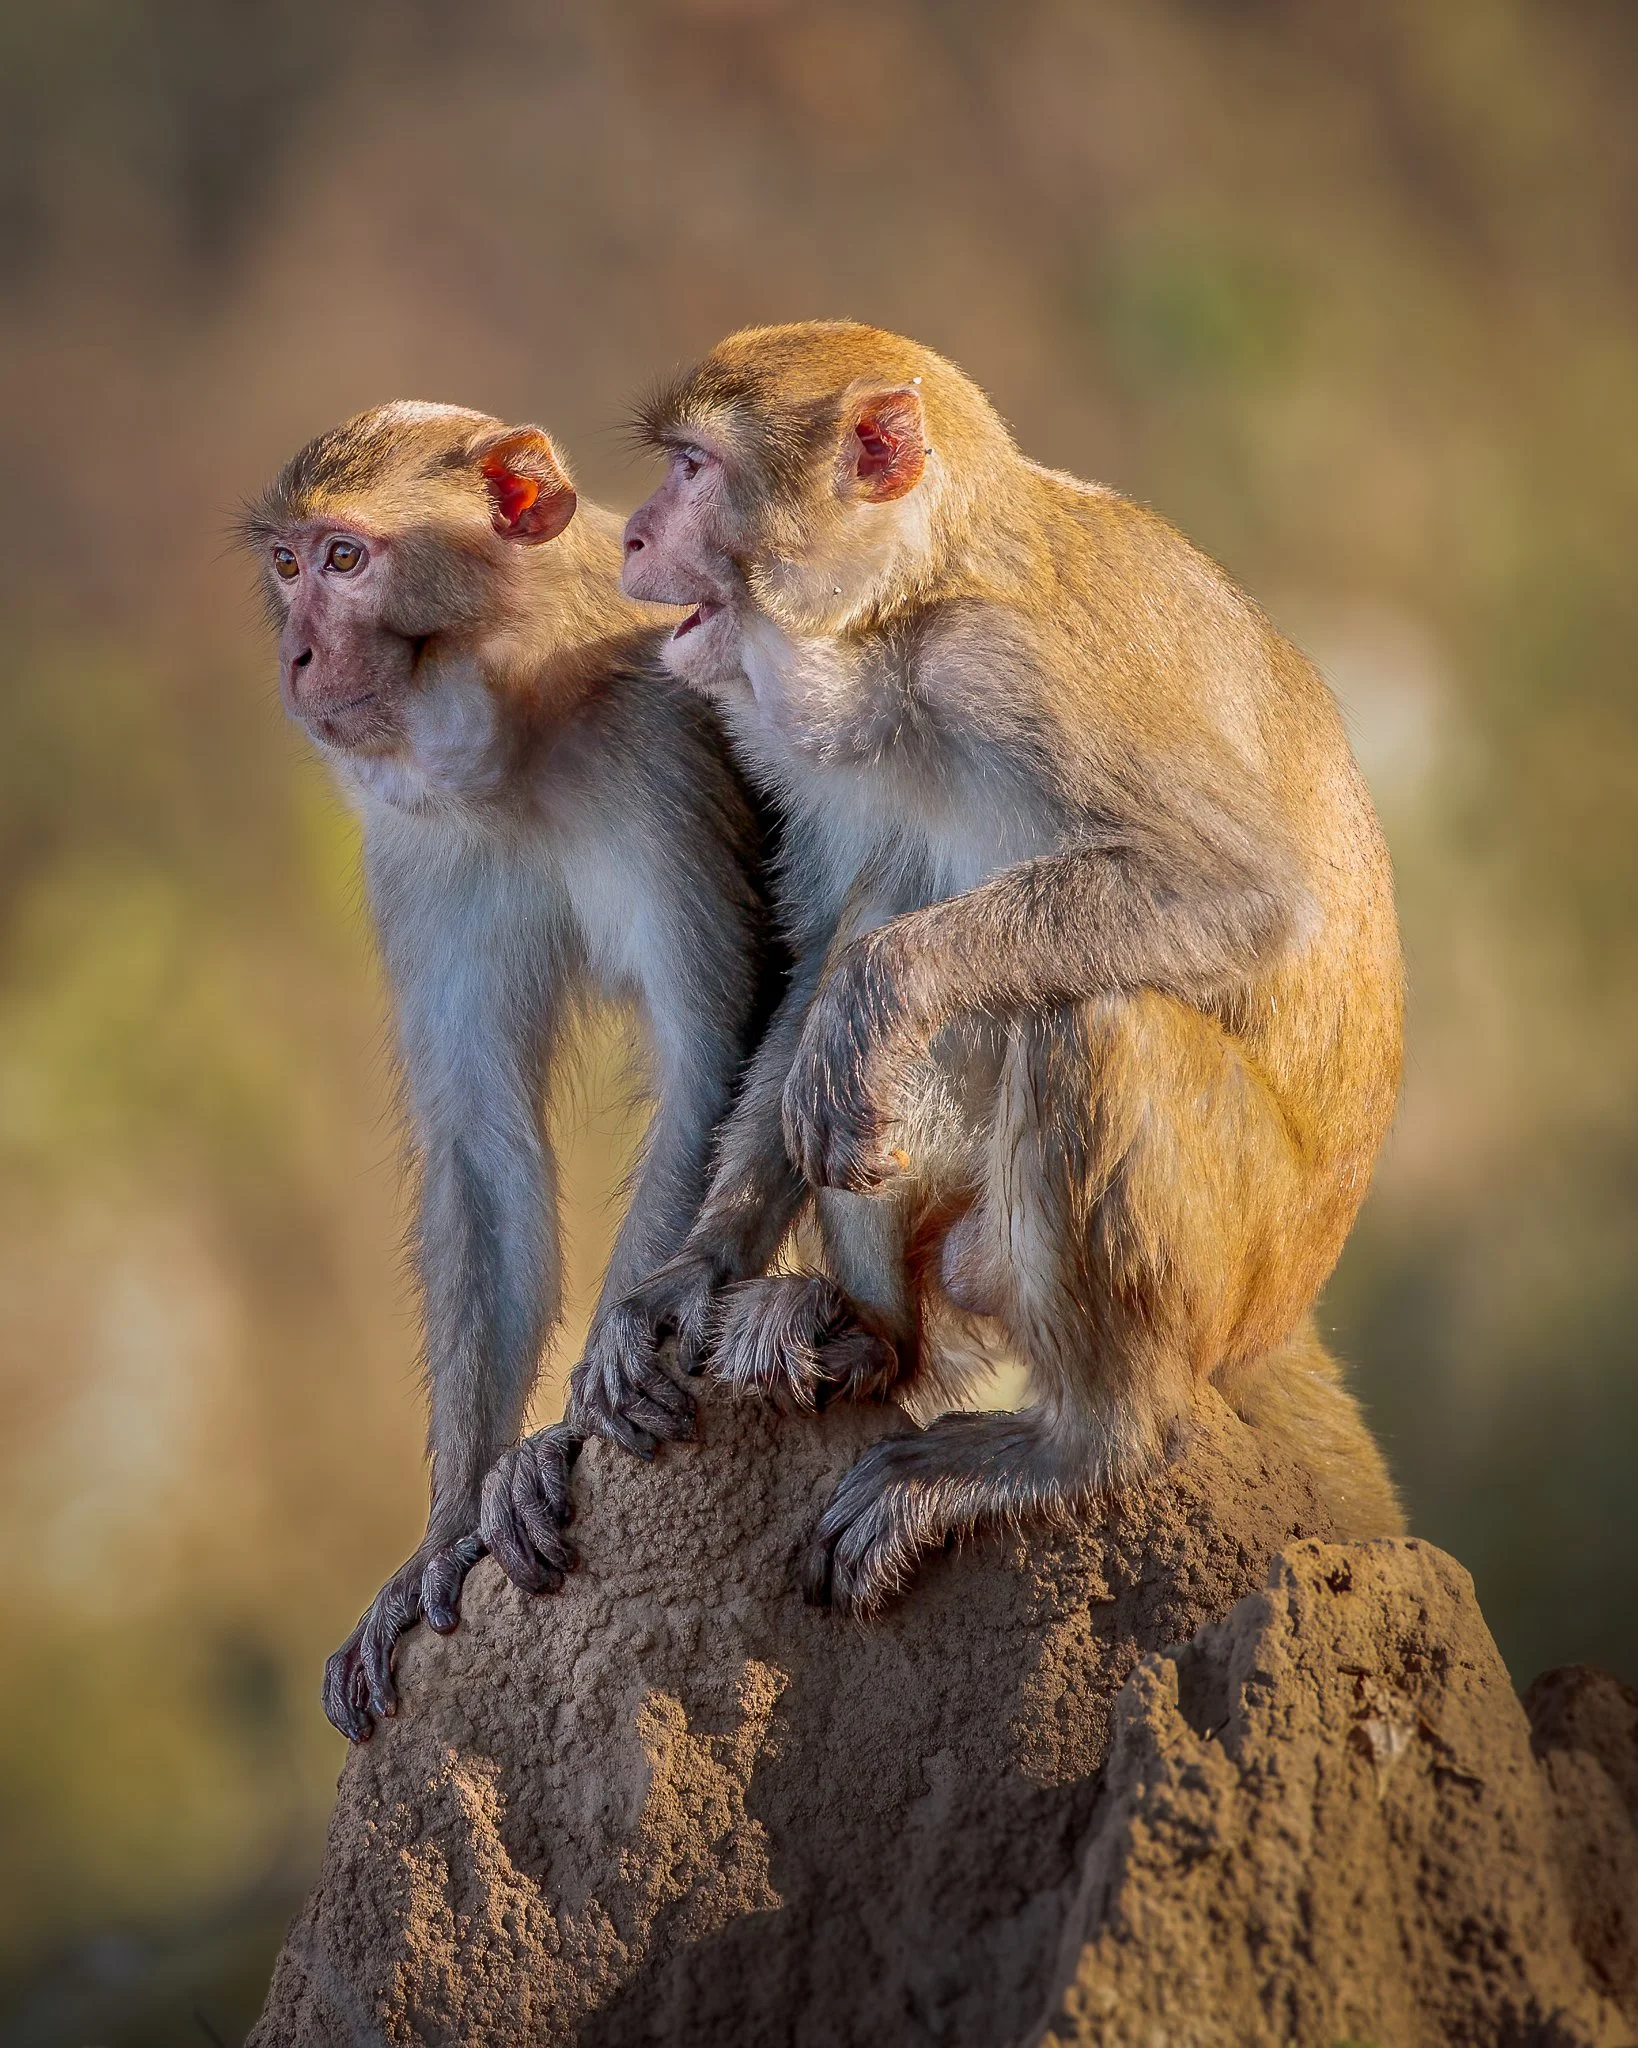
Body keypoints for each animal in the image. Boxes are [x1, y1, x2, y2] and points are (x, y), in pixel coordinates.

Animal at [242, 401, 777, 1738]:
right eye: (287, 565)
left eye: (347, 560)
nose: (300, 659)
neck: (525, 716)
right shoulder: (413, 847)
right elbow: (483, 1145)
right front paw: (442, 1536)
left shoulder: (657, 746)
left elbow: (712, 1043)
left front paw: (574, 1420)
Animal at [601, 319, 1406, 1618]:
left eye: (692, 468)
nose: (629, 533)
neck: (906, 613)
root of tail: (1285, 1309)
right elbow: (820, 954)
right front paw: (698, 1266)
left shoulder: (1002, 669)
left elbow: (1247, 894)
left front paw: (882, 985)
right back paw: (870, 1337)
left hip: (1237, 1259)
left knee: (1092, 1016)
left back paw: (1086, 1445)